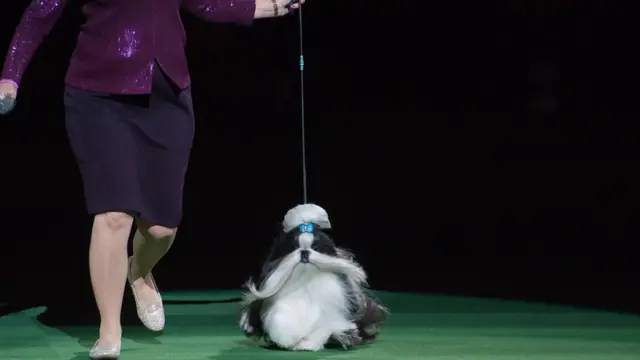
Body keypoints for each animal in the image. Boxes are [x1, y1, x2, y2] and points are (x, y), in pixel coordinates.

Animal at [236, 205, 382, 352]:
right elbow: (280, 321)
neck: (305, 282)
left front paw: (308, 344)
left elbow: (325, 328)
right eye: (294, 247)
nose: (304, 252)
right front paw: (291, 341)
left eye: (315, 247)